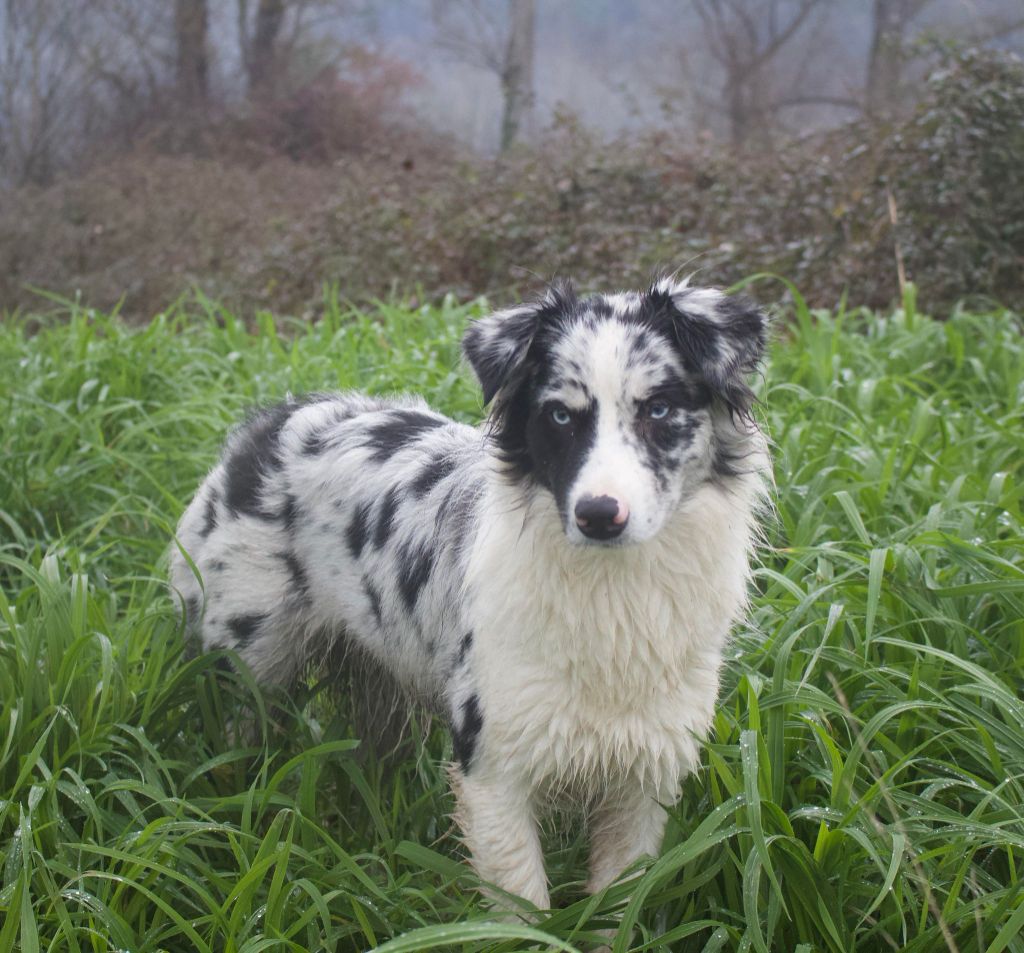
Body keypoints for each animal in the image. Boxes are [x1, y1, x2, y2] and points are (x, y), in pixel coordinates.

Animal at [172, 274, 770, 908]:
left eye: (658, 408)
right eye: (560, 416)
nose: (599, 515)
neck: (612, 597)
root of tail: (270, 422)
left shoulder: (645, 774)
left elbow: (617, 903)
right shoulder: (492, 764)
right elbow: (522, 908)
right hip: (247, 672)